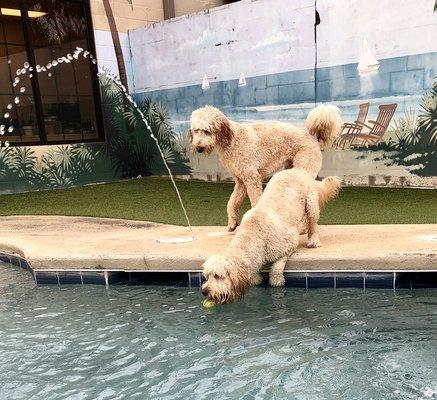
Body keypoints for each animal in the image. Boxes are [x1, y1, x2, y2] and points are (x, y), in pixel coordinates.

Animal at [190, 105, 340, 231]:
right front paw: (232, 223)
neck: (232, 140)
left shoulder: (252, 178)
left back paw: (303, 227)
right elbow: (232, 202)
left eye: (207, 131)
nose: (198, 148)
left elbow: (255, 201)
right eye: (196, 130)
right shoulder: (241, 181)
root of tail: (312, 136)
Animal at [201, 170, 340, 306]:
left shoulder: (289, 243)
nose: (204, 291)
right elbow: (255, 276)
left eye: (218, 276)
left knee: (313, 224)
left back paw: (313, 240)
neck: (254, 235)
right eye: (207, 276)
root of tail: (297, 170)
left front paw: (277, 280)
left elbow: (276, 268)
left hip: (311, 205)